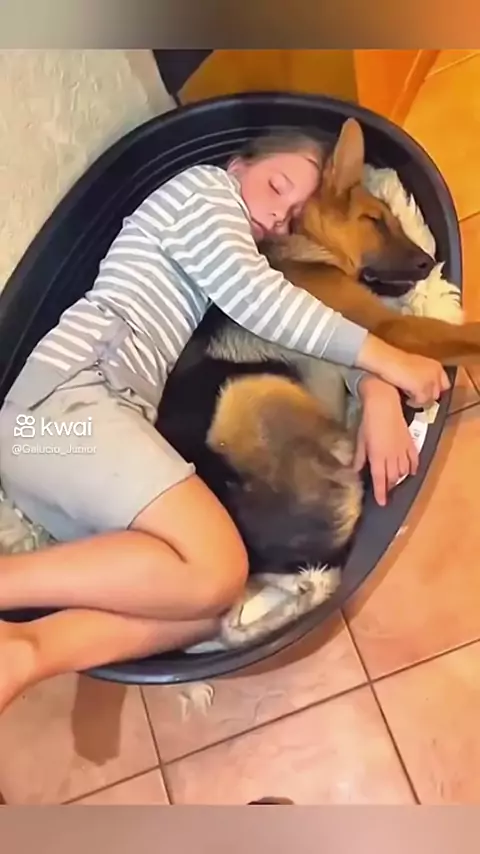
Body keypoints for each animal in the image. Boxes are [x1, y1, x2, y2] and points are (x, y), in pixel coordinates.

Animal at [156, 117, 480, 585]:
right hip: (249, 390)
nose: (427, 262)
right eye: (373, 221)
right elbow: (463, 335)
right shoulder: (389, 328)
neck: (308, 247)